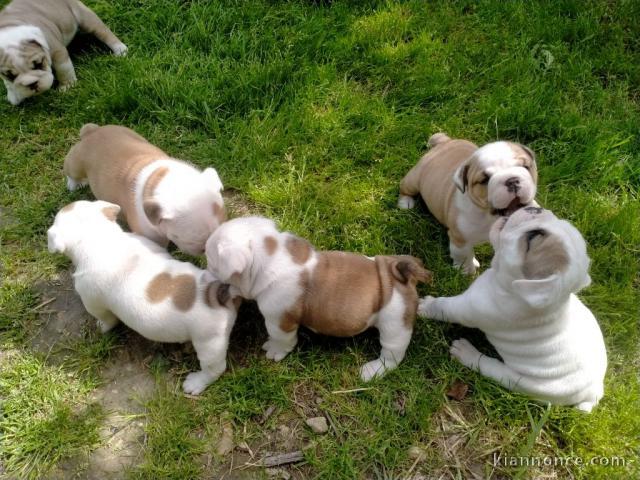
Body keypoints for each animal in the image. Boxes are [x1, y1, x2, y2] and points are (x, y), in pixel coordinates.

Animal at [47, 199, 242, 394]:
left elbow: (106, 319)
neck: (101, 238)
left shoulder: (92, 301)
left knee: (214, 368)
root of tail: (216, 292)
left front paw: (101, 327)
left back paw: (196, 383)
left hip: (209, 342)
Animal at [63, 125, 228, 256]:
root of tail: (92, 131)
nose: (207, 250)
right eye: (196, 243)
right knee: (72, 172)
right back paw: (74, 184)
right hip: (75, 162)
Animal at [208, 216, 432, 380]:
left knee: (393, 354)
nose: (207, 272)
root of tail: (400, 276)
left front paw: (274, 350)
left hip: (395, 324)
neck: (271, 257)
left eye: (211, 262)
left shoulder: (279, 319)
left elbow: (281, 338)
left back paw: (372, 371)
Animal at [398, 133, 536, 276]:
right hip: (414, 180)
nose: (512, 180)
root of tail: (444, 142)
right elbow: (464, 257)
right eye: (485, 180)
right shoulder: (460, 239)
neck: (490, 215)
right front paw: (467, 273)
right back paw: (405, 203)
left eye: (525, 167)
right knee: (404, 188)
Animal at [418, 206, 608, 412]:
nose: (536, 208)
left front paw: (424, 306)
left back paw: (466, 353)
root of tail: (594, 390)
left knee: (493, 369)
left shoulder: (467, 308)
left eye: (533, 237)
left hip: (522, 382)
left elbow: (444, 306)